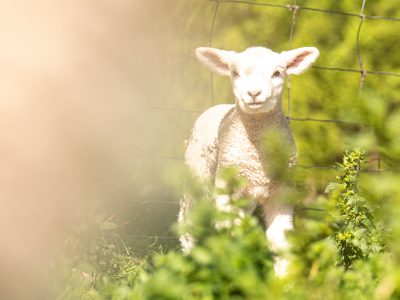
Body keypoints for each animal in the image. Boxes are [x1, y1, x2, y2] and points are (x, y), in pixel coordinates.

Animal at [180, 45, 320, 276]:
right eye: (235, 73)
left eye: (277, 73)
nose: (254, 93)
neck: (257, 155)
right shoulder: (226, 188)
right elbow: (234, 229)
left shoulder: (281, 191)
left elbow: (279, 240)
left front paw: (283, 279)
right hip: (197, 174)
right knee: (188, 221)